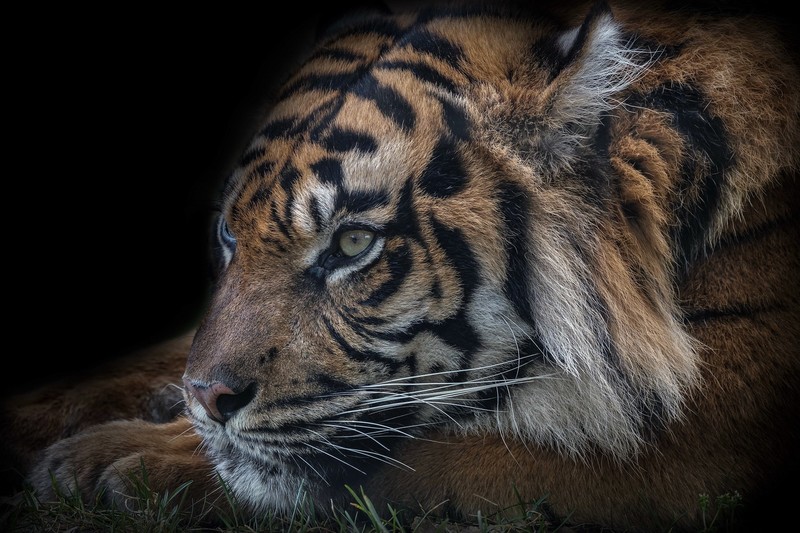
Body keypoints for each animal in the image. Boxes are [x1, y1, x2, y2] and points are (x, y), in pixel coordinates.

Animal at [1, 0, 799, 531]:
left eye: (354, 246)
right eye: (230, 234)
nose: (205, 399)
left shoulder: (693, 438)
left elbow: (407, 455)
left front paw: (115, 462)